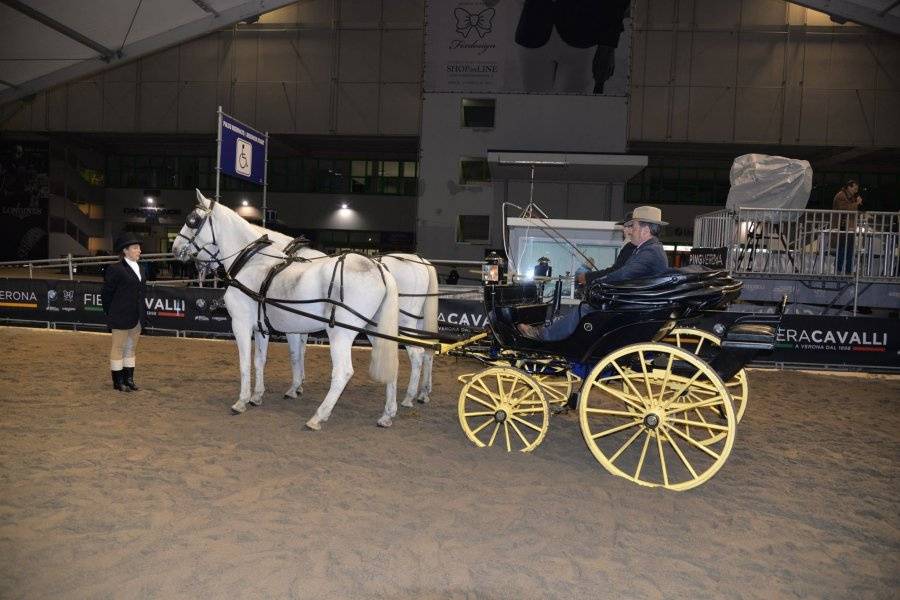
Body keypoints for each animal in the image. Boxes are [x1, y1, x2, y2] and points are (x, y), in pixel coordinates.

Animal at [174, 190, 400, 428]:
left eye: (192, 220)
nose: (175, 249)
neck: (252, 263)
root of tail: (379, 268)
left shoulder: (241, 325)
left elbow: (245, 363)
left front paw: (241, 401)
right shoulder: (260, 327)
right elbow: (260, 361)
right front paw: (257, 396)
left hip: (341, 332)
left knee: (343, 372)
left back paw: (318, 416)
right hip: (374, 329)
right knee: (391, 365)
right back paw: (387, 415)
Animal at [250, 224, 440, 408]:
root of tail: (422, 262)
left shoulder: (294, 324)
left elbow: (295, 353)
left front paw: (294, 388)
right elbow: (301, 350)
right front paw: (299, 384)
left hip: (404, 322)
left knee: (417, 353)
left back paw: (409, 397)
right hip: (416, 322)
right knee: (428, 351)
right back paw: (423, 393)